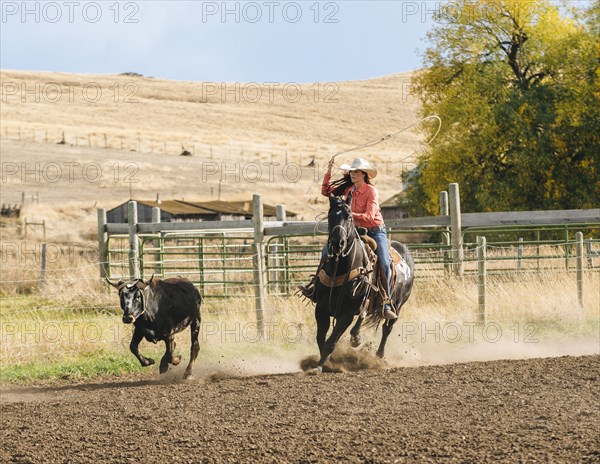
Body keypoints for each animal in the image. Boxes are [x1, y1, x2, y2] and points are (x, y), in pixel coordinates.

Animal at [312, 196, 414, 374]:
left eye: (349, 216)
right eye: (330, 216)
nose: (338, 243)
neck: (340, 267)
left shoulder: (346, 314)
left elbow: (331, 341)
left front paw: (320, 366)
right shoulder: (321, 309)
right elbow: (320, 338)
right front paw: (327, 363)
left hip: (398, 304)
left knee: (387, 328)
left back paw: (379, 355)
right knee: (364, 314)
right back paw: (356, 337)